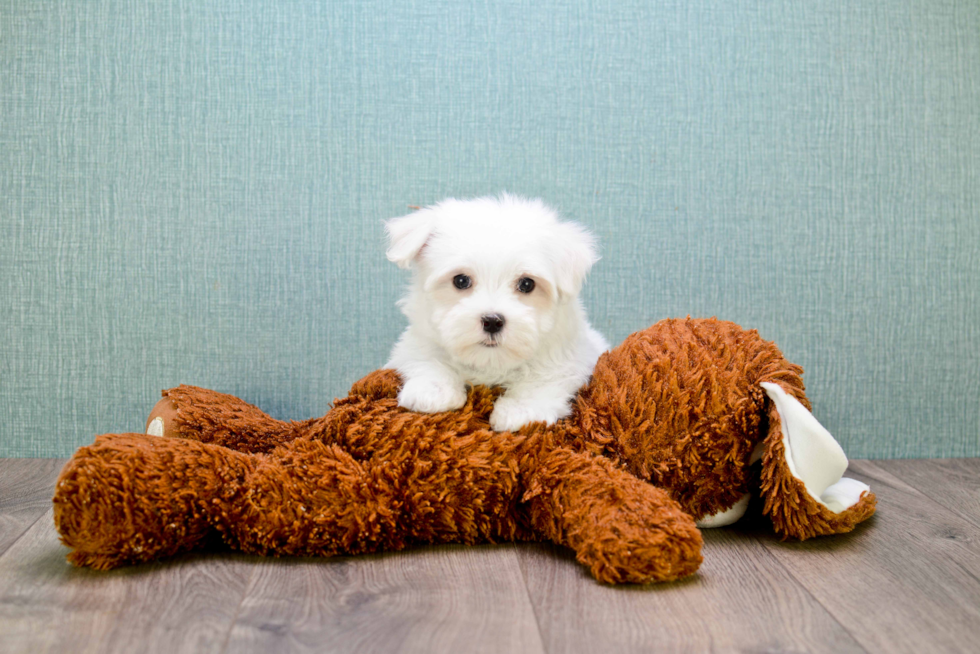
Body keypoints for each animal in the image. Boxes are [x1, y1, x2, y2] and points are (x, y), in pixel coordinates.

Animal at [380, 192, 604, 434]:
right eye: (461, 280)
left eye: (527, 284)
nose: (492, 321)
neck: (490, 363)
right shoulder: (417, 341)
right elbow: (427, 356)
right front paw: (433, 390)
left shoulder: (572, 356)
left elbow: (546, 378)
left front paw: (519, 411)